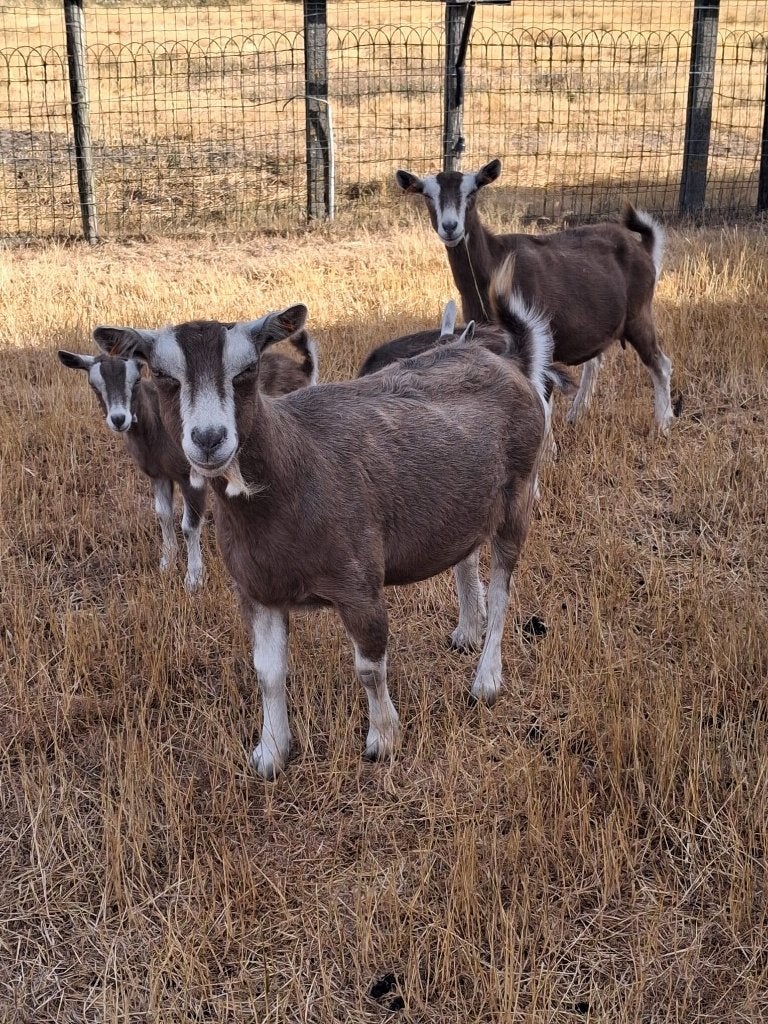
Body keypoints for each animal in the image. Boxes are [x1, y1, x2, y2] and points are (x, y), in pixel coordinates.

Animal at [58, 331, 318, 591]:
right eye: (94, 385)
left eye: (136, 380)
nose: (119, 419)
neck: (155, 427)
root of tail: (302, 369)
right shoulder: (159, 475)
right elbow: (163, 515)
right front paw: (166, 564)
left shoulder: (191, 477)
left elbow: (189, 525)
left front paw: (193, 579)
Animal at [94, 273, 561, 779]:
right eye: (162, 375)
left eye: (248, 370)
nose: (209, 439)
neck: (292, 468)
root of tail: (508, 361)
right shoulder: (256, 589)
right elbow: (267, 672)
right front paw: (271, 752)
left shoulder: (359, 584)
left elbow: (370, 667)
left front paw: (383, 740)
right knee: (466, 555)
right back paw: (466, 631)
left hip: (519, 493)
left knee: (503, 589)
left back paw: (486, 680)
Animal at [396, 159, 674, 432]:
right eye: (427, 195)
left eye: (472, 191)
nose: (450, 227)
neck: (495, 260)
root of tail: (643, 248)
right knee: (595, 361)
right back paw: (577, 414)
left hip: (639, 315)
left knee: (660, 365)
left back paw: (662, 425)